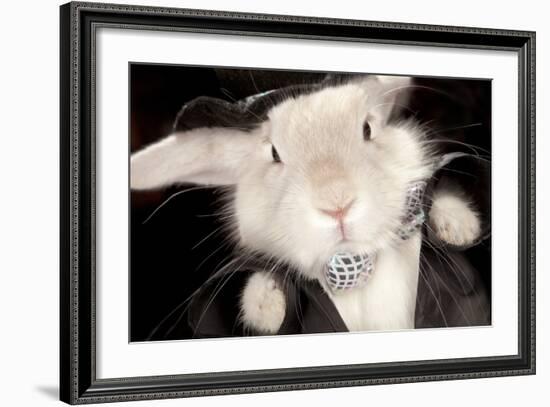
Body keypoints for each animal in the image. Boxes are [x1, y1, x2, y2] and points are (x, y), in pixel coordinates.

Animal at [132, 75, 486, 336]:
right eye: (274, 153)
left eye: (368, 128)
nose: (337, 204)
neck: (357, 266)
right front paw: (266, 306)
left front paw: (458, 226)